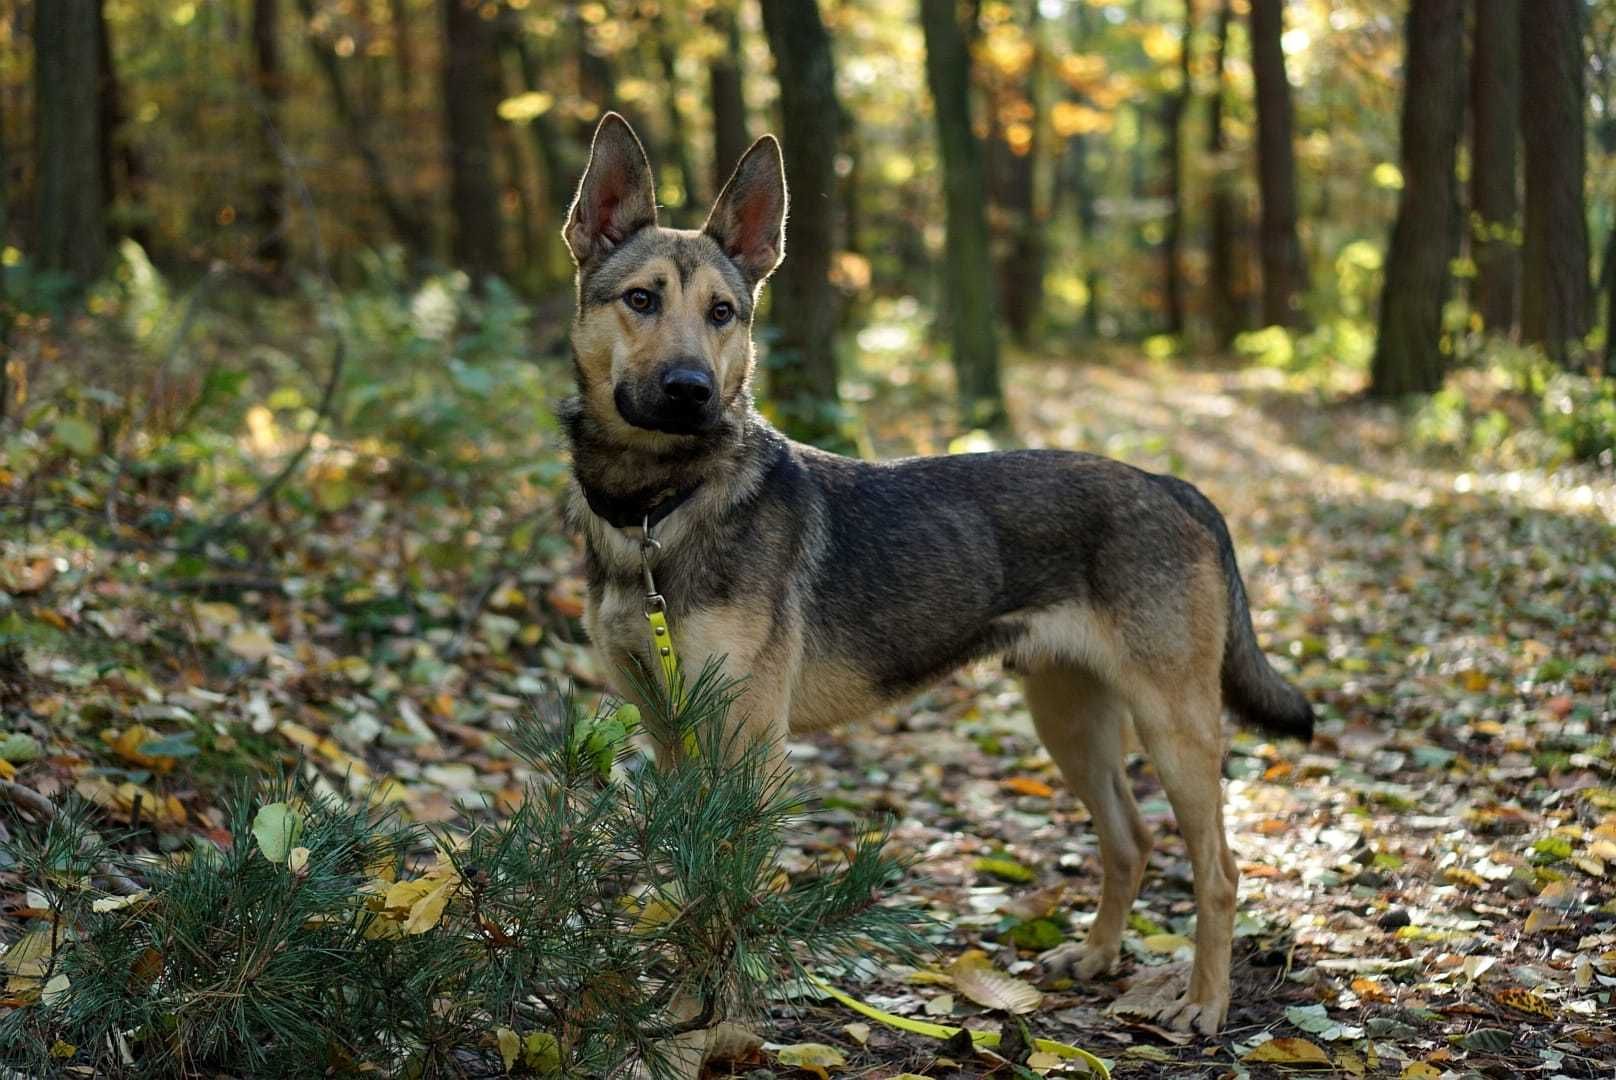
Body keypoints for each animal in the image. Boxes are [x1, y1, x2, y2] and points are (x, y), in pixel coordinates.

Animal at [559, 111, 1312, 1034]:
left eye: (723, 313)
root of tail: (1171, 484)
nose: (693, 389)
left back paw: (1205, 1002)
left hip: (1175, 724)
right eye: (640, 300)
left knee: (1218, 868)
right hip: (1069, 715)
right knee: (1129, 842)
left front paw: (727, 1026)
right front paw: (681, 1005)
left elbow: (737, 895)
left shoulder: (750, 743)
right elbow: (693, 885)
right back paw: (1096, 957)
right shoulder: (671, 734)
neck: (657, 513)